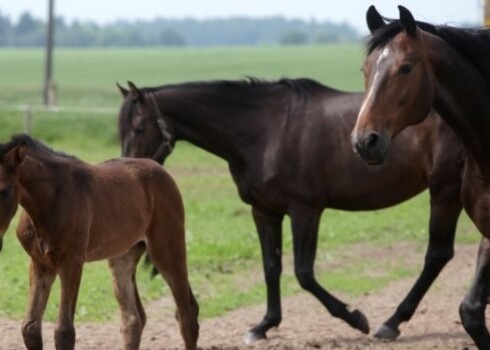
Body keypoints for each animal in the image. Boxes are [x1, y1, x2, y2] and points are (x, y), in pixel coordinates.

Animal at [0, 134, 200, 350]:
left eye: (5, 191)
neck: (50, 200)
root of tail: (160, 169)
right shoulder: (40, 264)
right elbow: (30, 328)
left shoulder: (71, 262)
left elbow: (64, 332)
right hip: (123, 256)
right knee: (133, 319)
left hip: (167, 250)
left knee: (187, 315)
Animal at [117, 76, 466, 342]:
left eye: (138, 128)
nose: (128, 172)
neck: (266, 130)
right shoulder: (264, 211)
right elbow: (272, 267)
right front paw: (264, 325)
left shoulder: (305, 211)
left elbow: (304, 273)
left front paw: (354, 317)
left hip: (445, 189)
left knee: (437, 255)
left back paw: (391, 323)